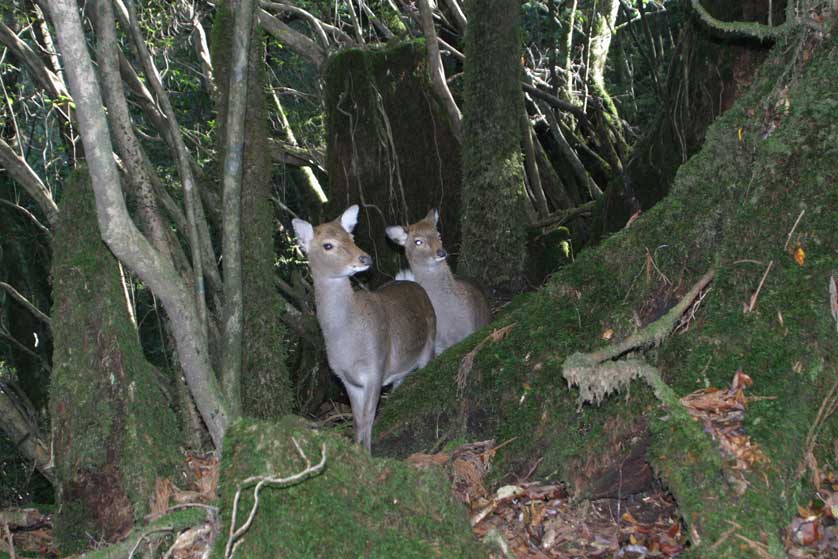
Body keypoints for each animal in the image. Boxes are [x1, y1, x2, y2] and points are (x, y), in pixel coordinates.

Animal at [292, 203, 436, 452]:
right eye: (328, 245)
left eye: (351, 236)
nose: (365, 258)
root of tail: (413, 283)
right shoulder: (346, 378)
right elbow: (358, 420)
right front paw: (357, 448)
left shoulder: (376, 366)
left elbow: (368, 417)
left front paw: (367, 453)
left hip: (430, 342)